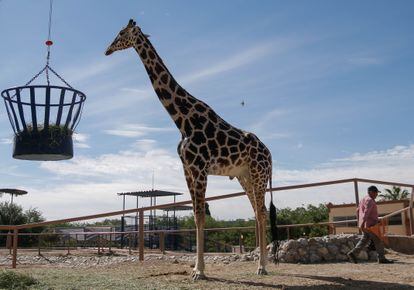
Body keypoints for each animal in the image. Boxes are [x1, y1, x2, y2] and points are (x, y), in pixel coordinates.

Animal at [106, 19, 274, 280]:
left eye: (122, 33)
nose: (107, 49)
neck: (182, 120)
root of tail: (270, 155)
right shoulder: (187, 169)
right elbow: (196, 216)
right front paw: (196, 269)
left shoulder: (200, 168)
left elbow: (201, 216)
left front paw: (200, 271)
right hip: (244, 176)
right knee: (258, 212)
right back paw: (259, 263)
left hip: (259, 175)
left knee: (263, 212)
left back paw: (262, 267)